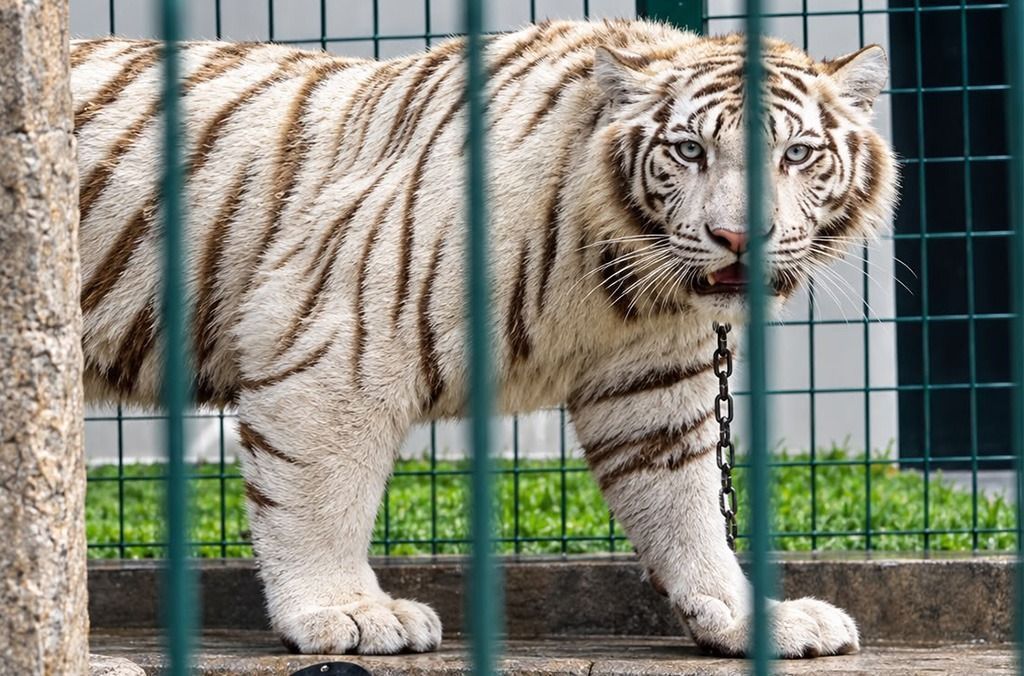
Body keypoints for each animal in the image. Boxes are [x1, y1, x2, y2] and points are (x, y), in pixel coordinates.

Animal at [71, 17, 896, 658]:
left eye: (796, 154)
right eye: (690, 150)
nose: (736, 236)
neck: (618, 279)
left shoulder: (649, 383)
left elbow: (685, 507)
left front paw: (747, 620)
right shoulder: (338, 337)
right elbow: (320, 495)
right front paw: (346, 613)